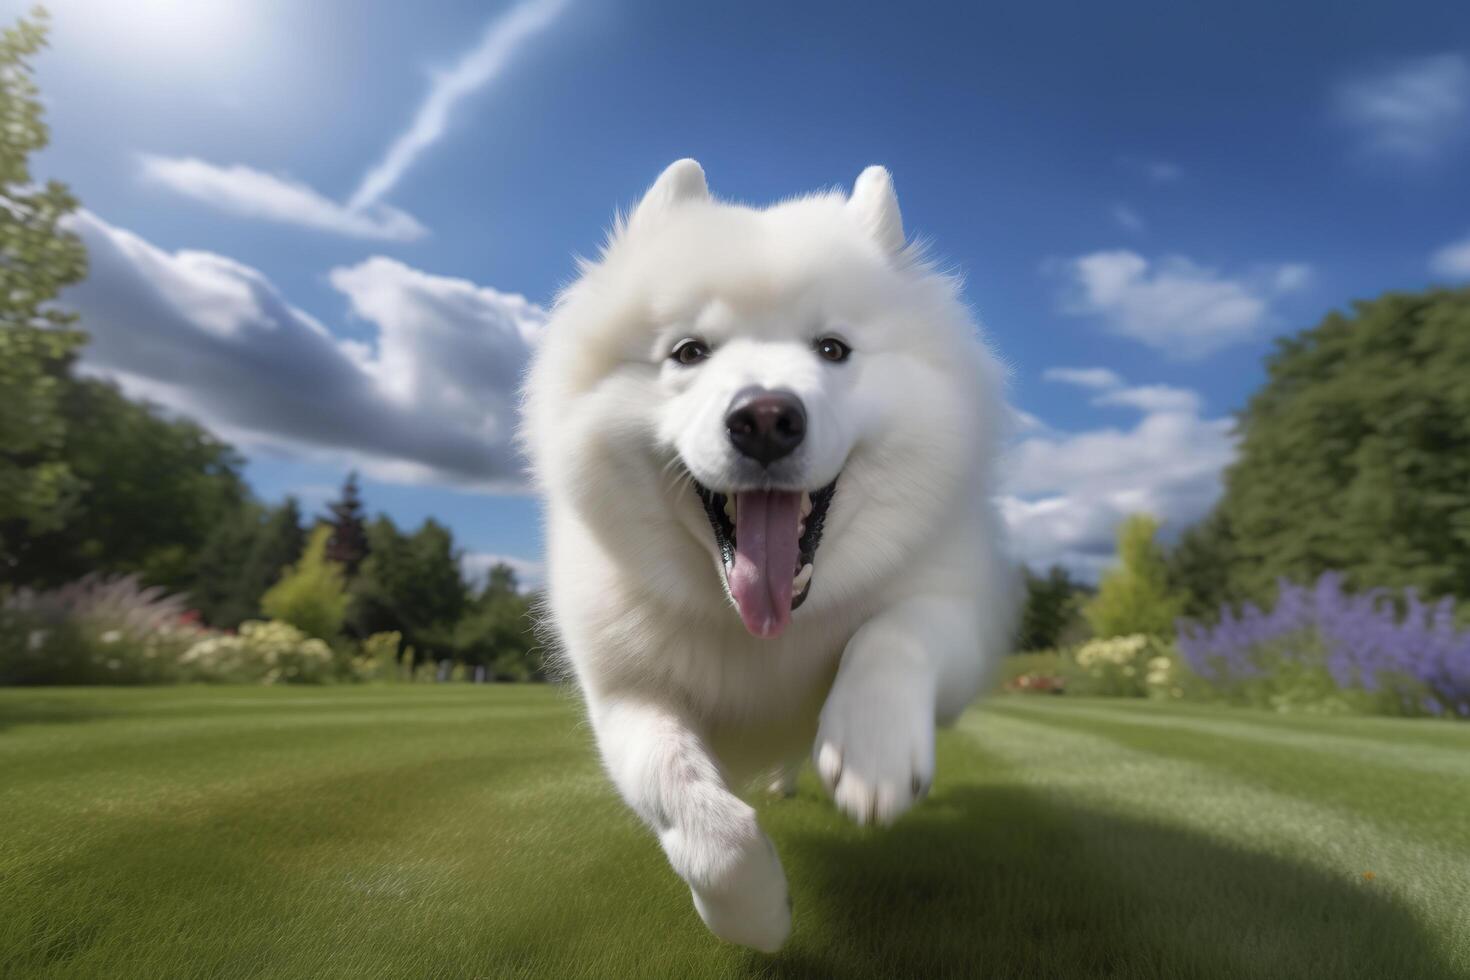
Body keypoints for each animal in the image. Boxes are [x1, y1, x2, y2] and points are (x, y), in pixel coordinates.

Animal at [523, 159, 1017, 952]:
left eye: (833, 349)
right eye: (690, 352)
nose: (764, 418)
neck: (763, 630)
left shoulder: (959, 617)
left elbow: (894, 632)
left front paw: (873, 753)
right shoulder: (625, 692)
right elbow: (684, 798)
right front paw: (753, 910)